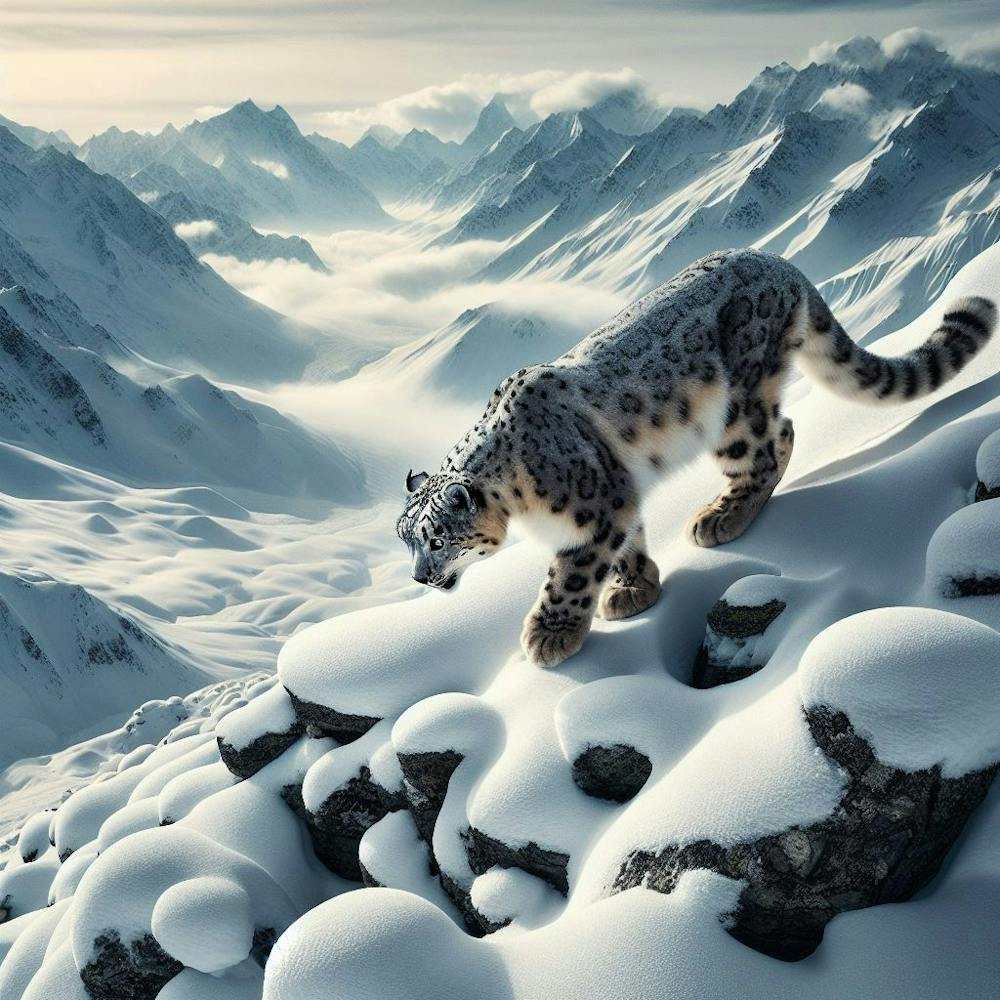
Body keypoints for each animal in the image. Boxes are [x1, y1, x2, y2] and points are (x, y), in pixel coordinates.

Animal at [396, 248, 996, 668]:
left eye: (436, 539)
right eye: (407, 541)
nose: (420, 579)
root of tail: (780, 263)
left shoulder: (594, 505)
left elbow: (569, 574)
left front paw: (550, 633)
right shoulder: (618, 496)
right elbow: (627, 544)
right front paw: (634, 590)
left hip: (732, 410)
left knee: (772, 441)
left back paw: (722, 516)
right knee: (783, 433)